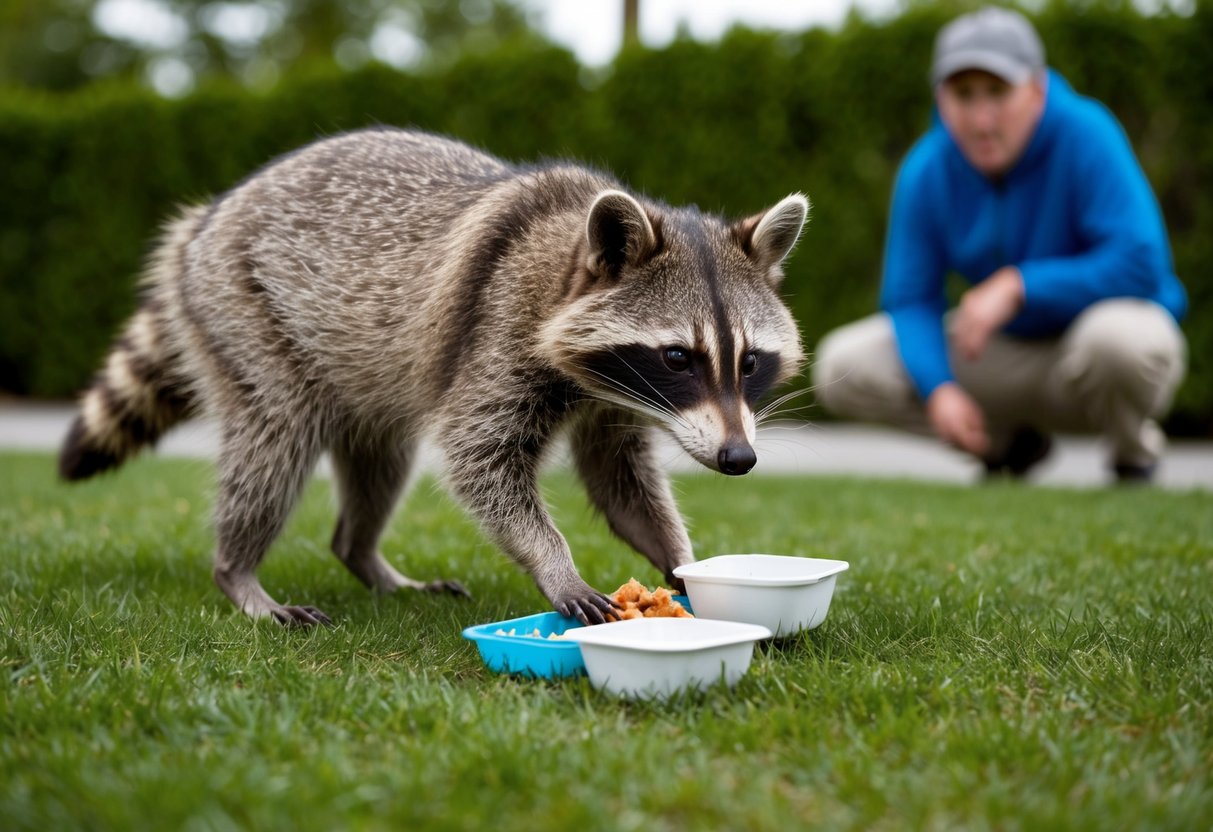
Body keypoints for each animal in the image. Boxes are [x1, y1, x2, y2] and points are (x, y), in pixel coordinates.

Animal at [59, 128, 808, 627]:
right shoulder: (497, 332)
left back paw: (362, 554)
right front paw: (555, 562)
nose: (738, 458)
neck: (565, 252)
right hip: (242, 309)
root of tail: (203, 223)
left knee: (380, 459)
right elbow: (480, 460)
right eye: (679, 357)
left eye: (748, 361)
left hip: (358, 374)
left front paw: (678, 559)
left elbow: (617, 479)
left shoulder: (615, 396)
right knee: (275, 439)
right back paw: (238, 572)